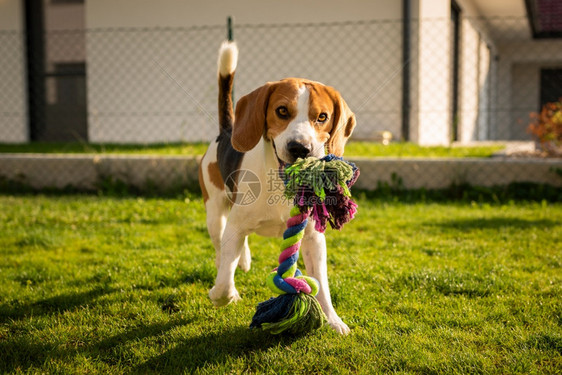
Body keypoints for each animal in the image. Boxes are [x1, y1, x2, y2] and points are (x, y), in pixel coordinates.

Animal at [198, 41, 354, 334]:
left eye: (322, 117)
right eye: (282, 111)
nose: (300, 148)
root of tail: (227, 131)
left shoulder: (313, 238)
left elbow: (322, 284)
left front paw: (333, 320)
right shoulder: (234, 227)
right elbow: (223, 280)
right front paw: (222, 294)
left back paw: (244, 259)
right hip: (214, 211)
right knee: (220, 247)